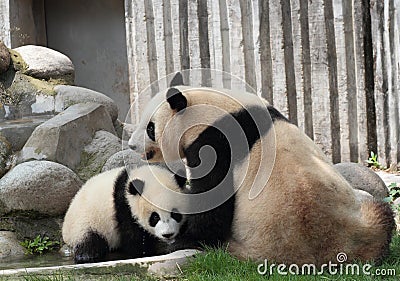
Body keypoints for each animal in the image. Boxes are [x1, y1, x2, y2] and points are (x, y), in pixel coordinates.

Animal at [127, 72, 394, 264]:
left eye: (150, 127)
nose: (131, 145)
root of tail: (327, 253)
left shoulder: (213, 145)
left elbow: (211, 207)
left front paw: (182, 238)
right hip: (364, 224)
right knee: (381, 214)